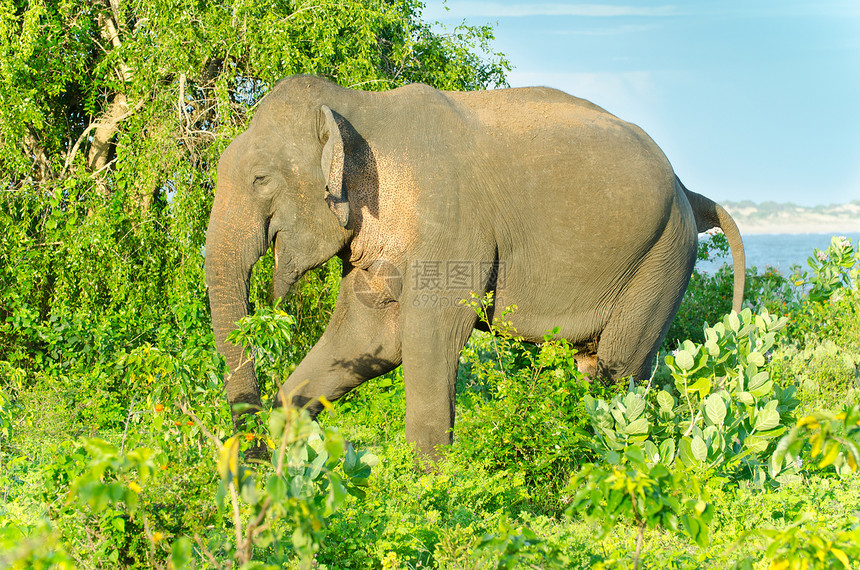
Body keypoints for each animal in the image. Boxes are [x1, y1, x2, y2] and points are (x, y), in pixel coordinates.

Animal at [205, 73, 744, 460]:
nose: (252, 462)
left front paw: (432, 487)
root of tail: (688, 190)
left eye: (260, 179)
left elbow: (429, 337)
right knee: (605, 366)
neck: (360, 108)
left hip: (663, 256)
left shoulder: (451, 222)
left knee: (616, 371)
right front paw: (287, 434)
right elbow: (368, 337)